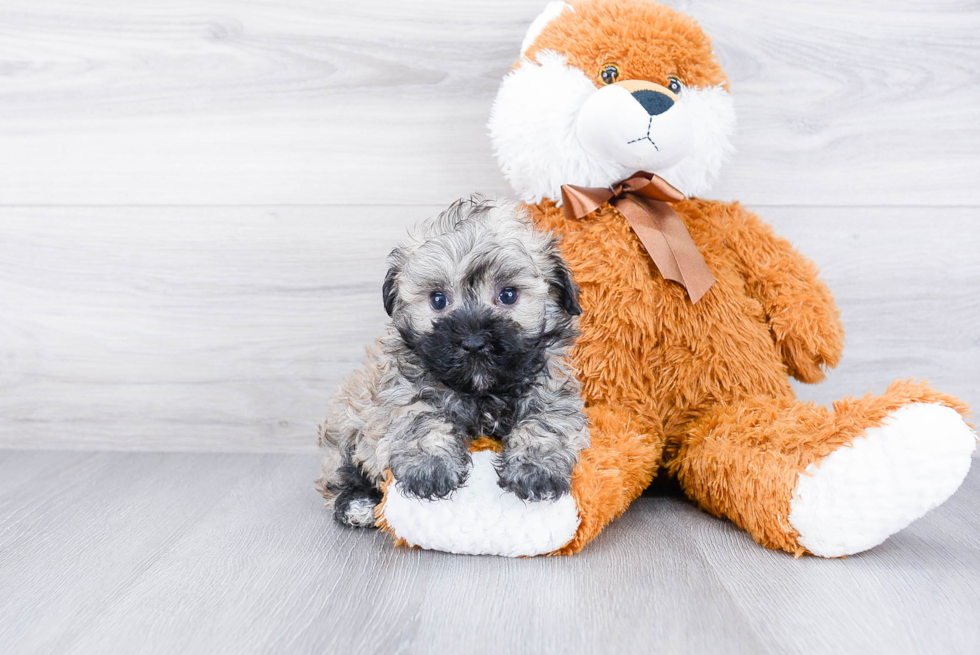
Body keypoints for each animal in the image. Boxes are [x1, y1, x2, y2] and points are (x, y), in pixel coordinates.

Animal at [318, 195, 584, 528]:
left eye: (508, 295)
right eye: (438, 300)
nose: (473, 342)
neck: (481, 392)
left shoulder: (551, 390)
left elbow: (544, 424)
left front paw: (535, 468)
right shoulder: (403, 390)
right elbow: (420, 419)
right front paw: (430, 467)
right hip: (344, 428)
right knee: (342, 473)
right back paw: (358, 503)